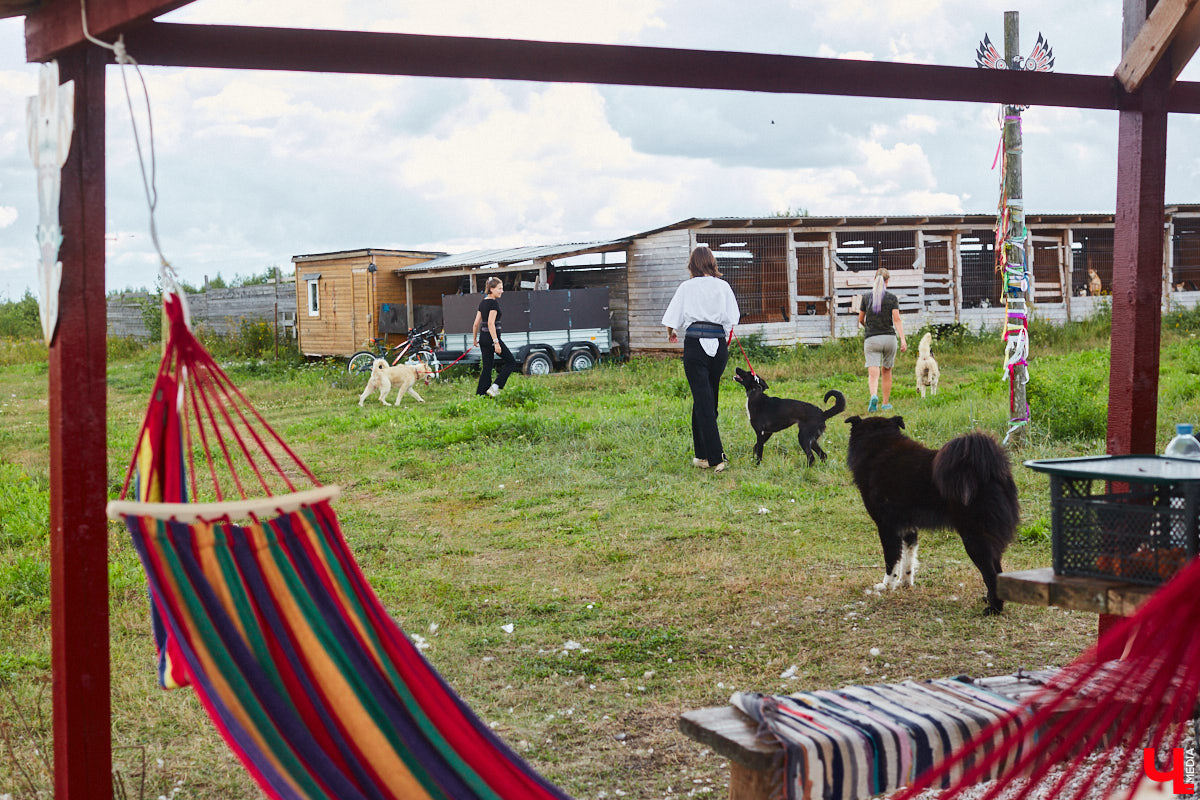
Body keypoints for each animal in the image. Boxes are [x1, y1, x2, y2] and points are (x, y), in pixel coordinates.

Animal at [840, 417, 1017, 618]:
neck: (881, 444)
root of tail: (990, 472)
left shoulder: (886, 526)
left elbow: (891, 559)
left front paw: (887, 585)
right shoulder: (908, 527)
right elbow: (907, 558)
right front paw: (905, 583)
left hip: (975, 539)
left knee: (991, 573)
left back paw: (994, 609)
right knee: (997, 569)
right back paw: (990, 599)